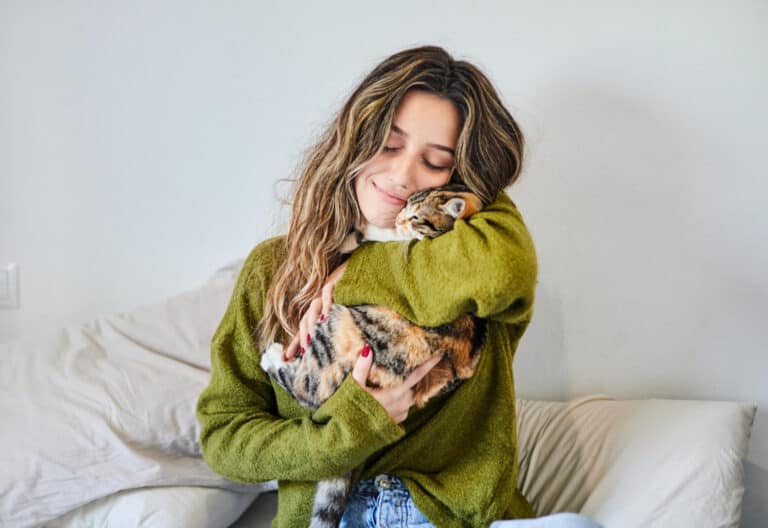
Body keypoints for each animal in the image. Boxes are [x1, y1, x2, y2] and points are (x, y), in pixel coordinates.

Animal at [258, 183, 486, 528]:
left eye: (417, 216)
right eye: (405, 204)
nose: (400, 217)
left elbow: (389, 238)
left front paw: (364, 229)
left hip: (337, 327)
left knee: (304, 389)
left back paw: (272, 357)